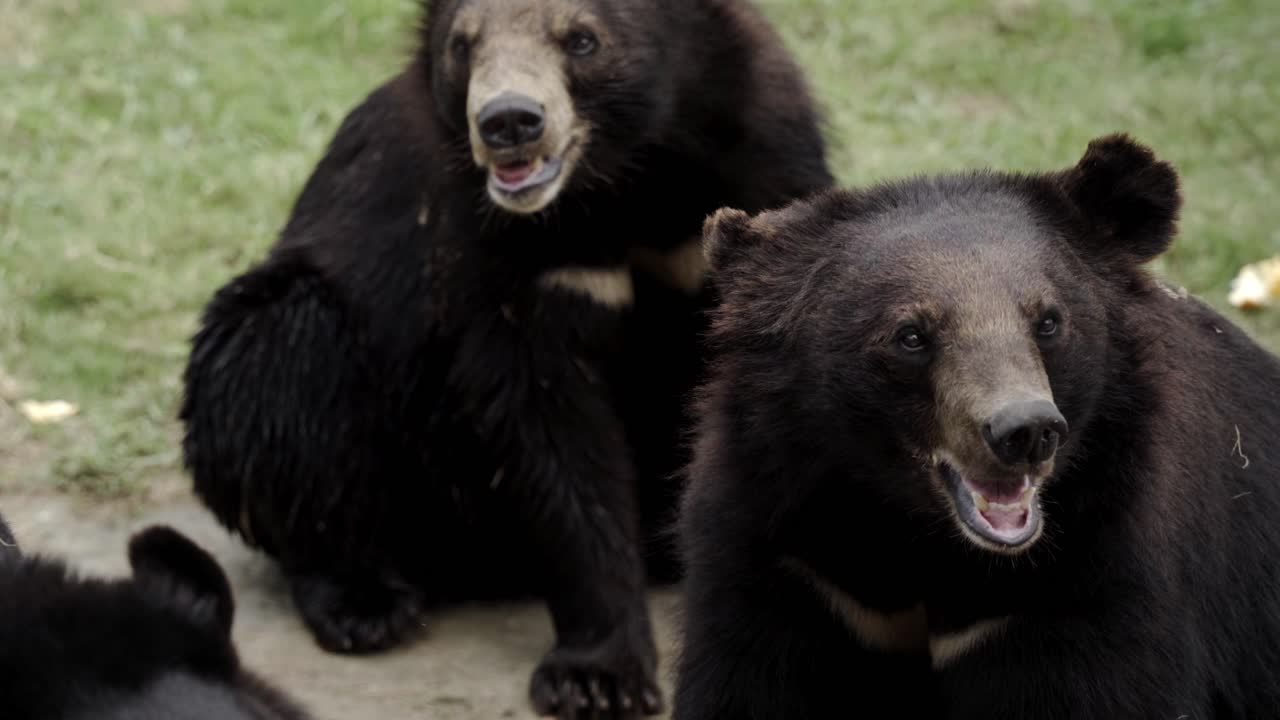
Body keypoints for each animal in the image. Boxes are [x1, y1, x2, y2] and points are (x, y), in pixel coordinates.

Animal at [179, 0, 832, 716]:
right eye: (464, 45)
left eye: (581, 39)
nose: (509, 122)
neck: (623, 181)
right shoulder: (499, 256)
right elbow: (545, 425)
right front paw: (596, 678)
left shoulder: (767, 158)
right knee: (280, 367)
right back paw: (364, 603)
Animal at [672, 135, 1280, 719]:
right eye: (911, 336)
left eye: (1049, 321)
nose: (1026, 431)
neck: (919, 537)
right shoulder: (791, 565)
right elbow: (747, 683)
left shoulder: (1094, 575)